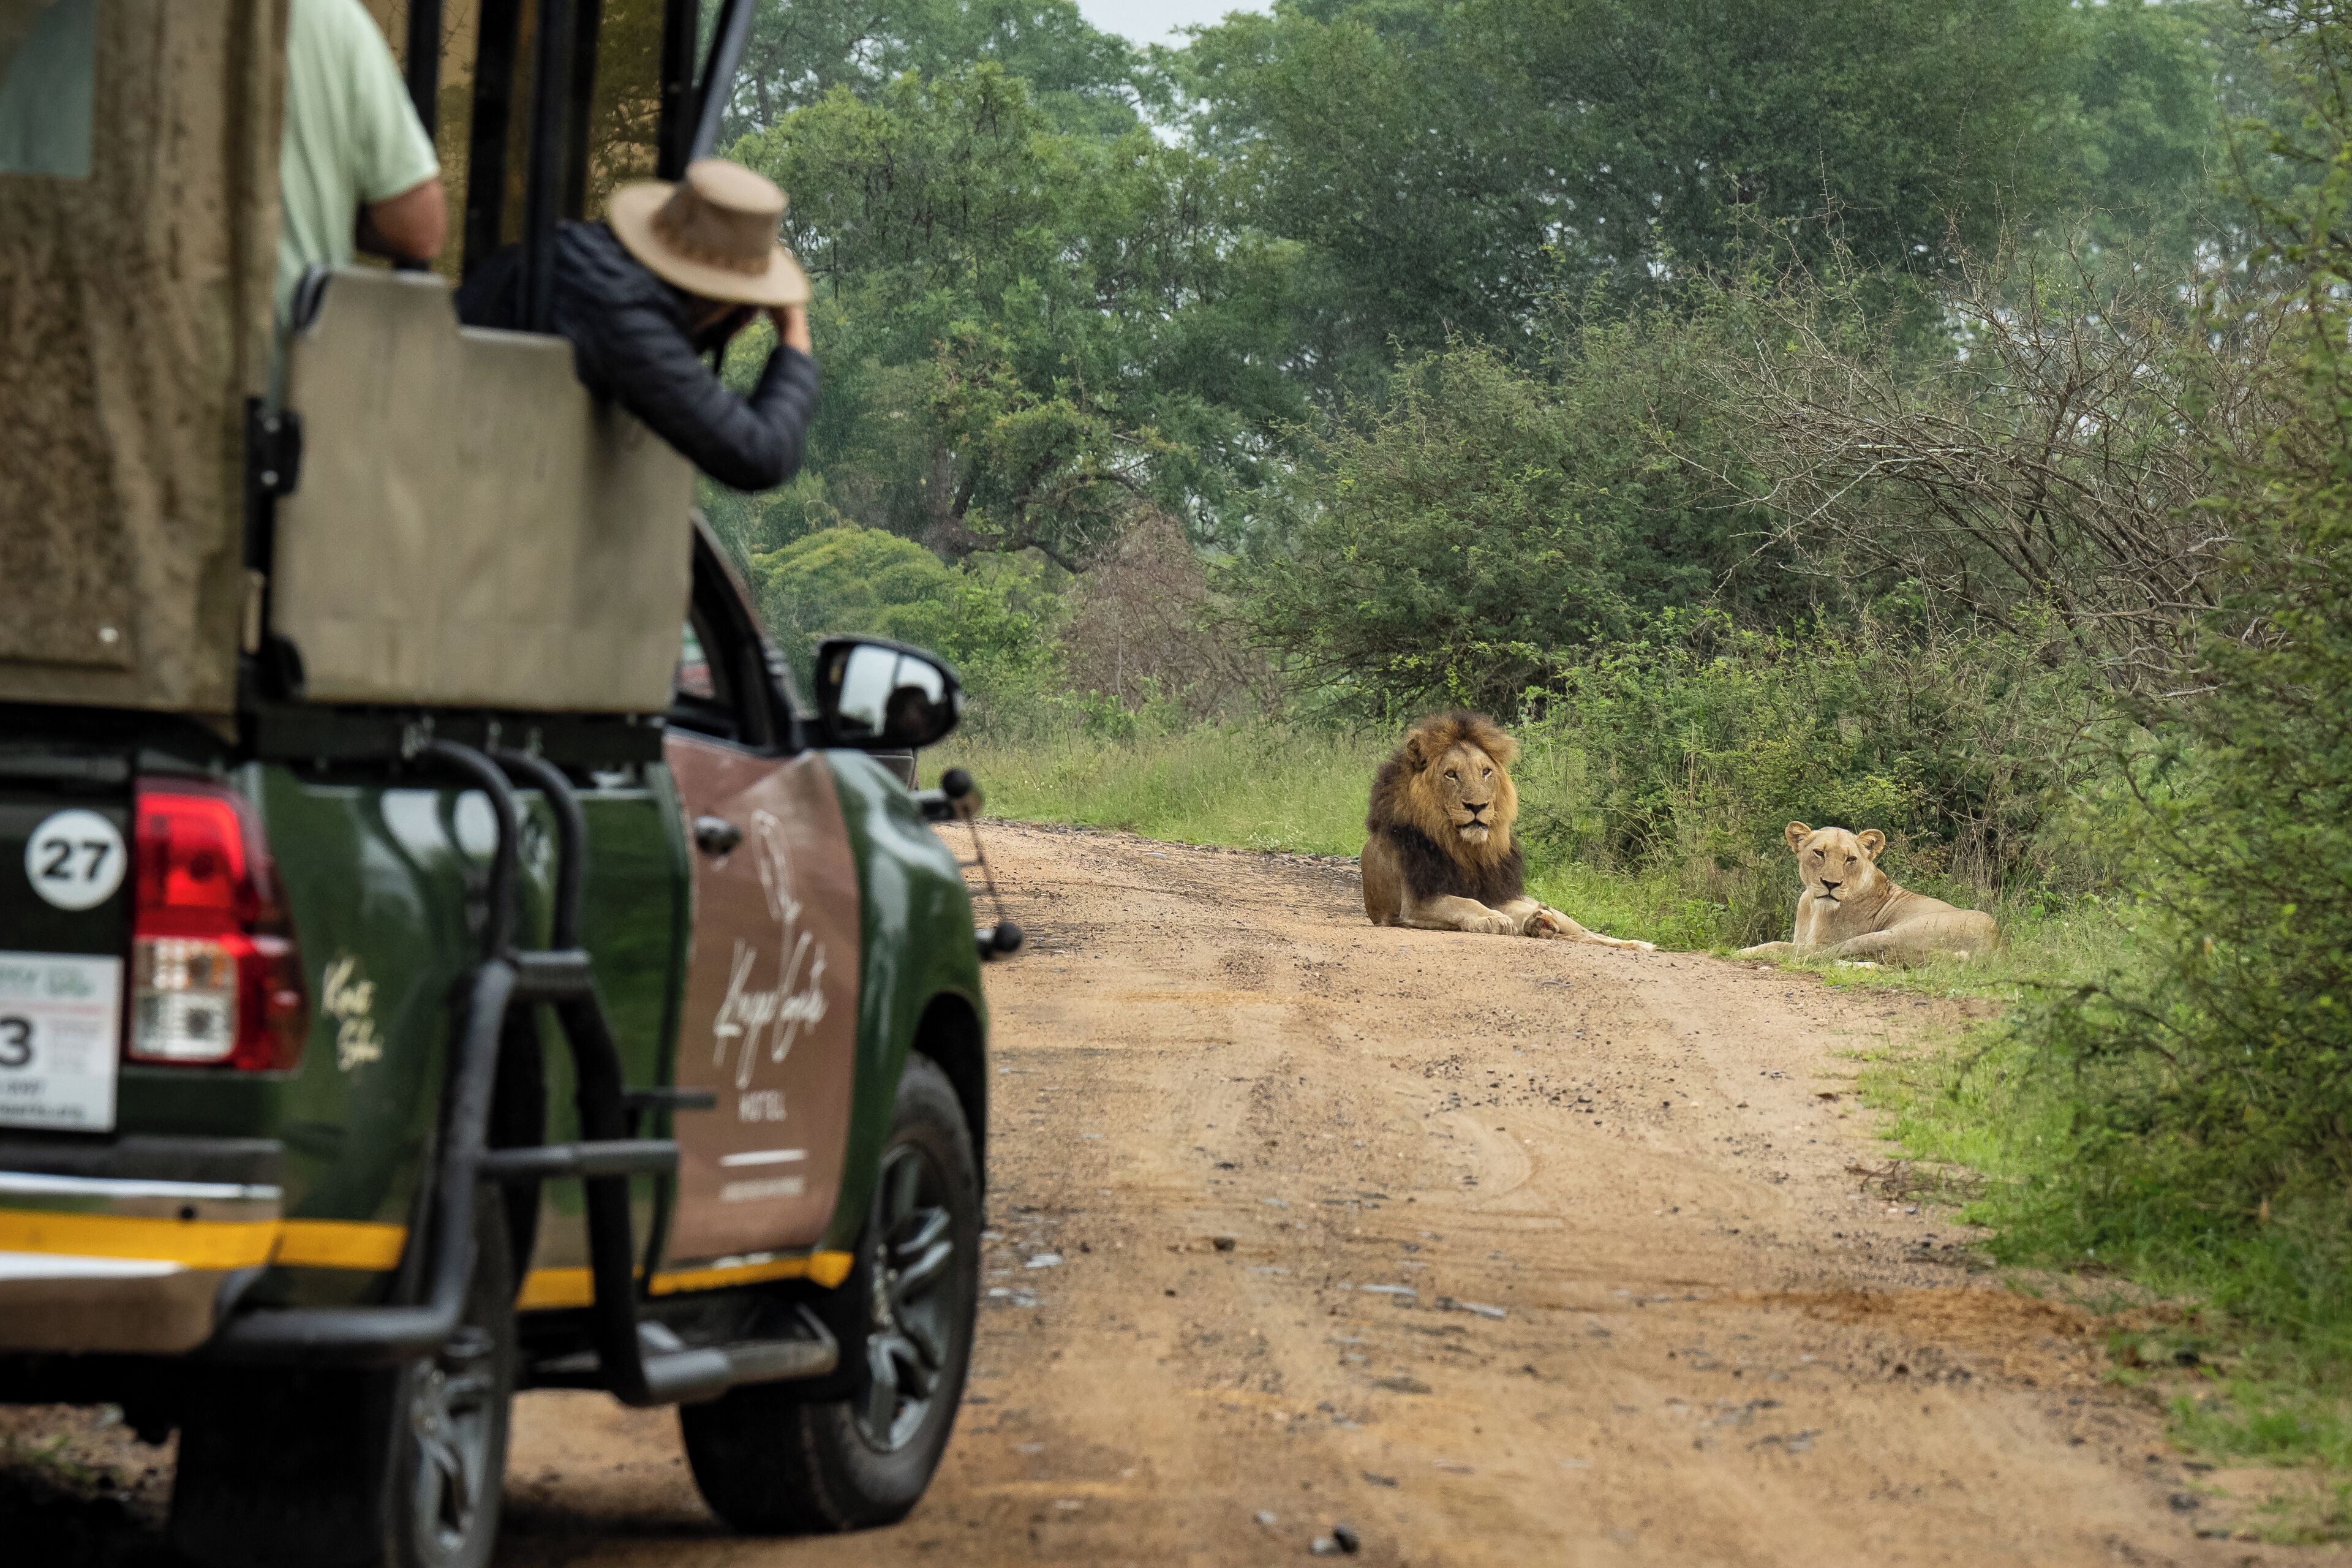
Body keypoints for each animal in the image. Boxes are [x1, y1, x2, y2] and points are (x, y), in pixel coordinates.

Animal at [1360, 712, 1653, 949]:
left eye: (1486, 772)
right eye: (1451, 774)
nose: (1477, 806)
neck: (1464, 848)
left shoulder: (1496, 893)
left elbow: (1501, 907)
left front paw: (1531, 919)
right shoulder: (1416, 901)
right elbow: (1463, 902)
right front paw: (1493, 918)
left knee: (1586, 932)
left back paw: (1638, 944)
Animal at [1738, 823, 1999, 965]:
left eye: (1850, 859)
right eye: (1819, 853)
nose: (1831, 884)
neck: (1813, 906)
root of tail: (1993, 946)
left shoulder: (1821, 943)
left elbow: (1782, 946)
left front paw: (1745, 951)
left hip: (1889, 935)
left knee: (1823, 955)